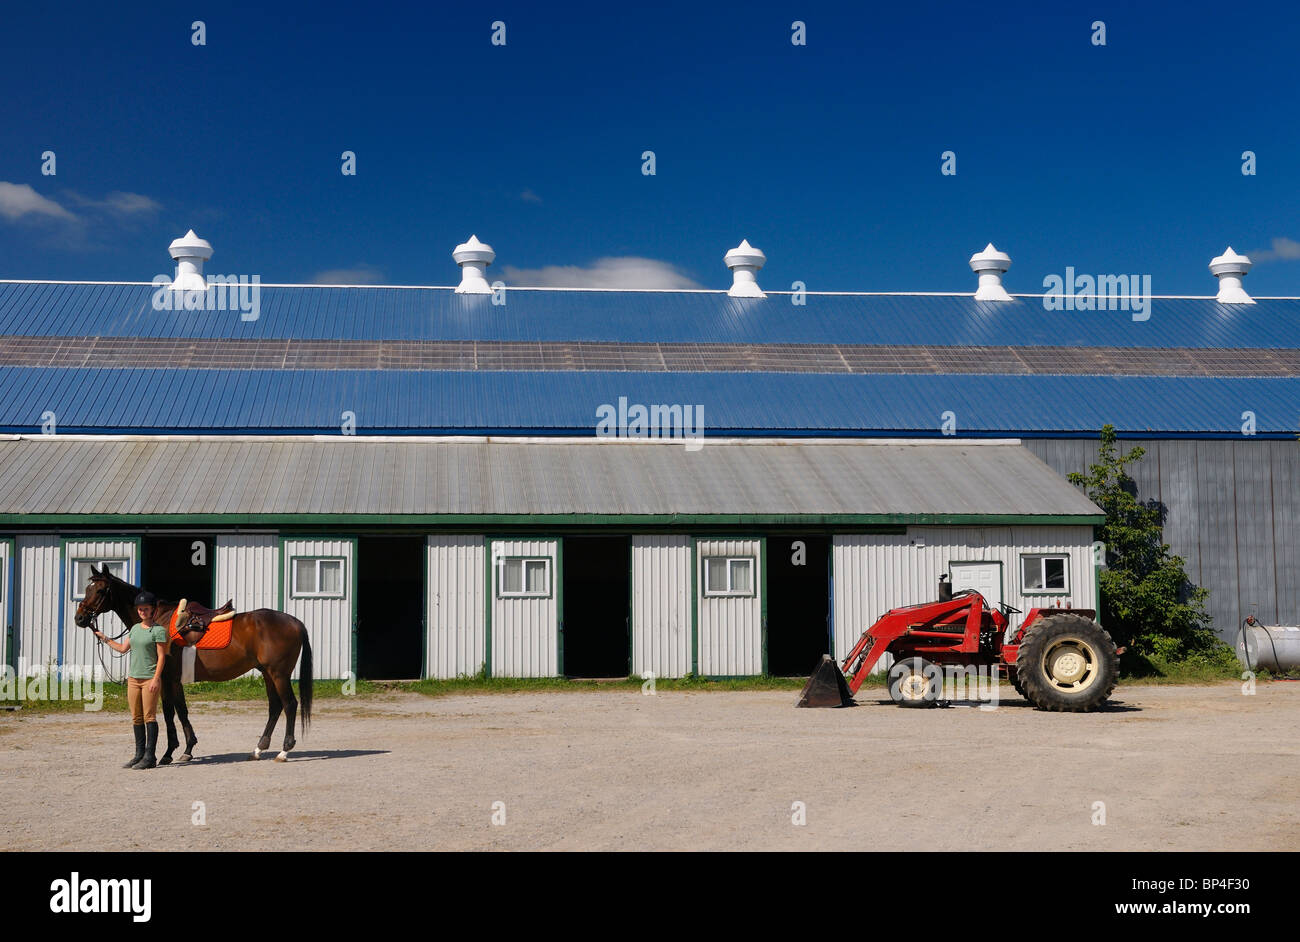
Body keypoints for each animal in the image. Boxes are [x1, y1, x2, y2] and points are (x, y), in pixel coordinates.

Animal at [73, 561, 312, 758]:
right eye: (87, 589)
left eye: (100, 590)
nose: (79, 618)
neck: (158, 619)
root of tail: (295, 622)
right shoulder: (174, 680)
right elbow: (181, 711)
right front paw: (187, 748)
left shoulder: (166, 679)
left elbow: (170, 712)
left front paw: (169, 752)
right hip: (267, 673)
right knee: (275, 707)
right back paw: (259, 748)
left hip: (279, 674)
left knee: (290, 705)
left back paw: (284, 750)